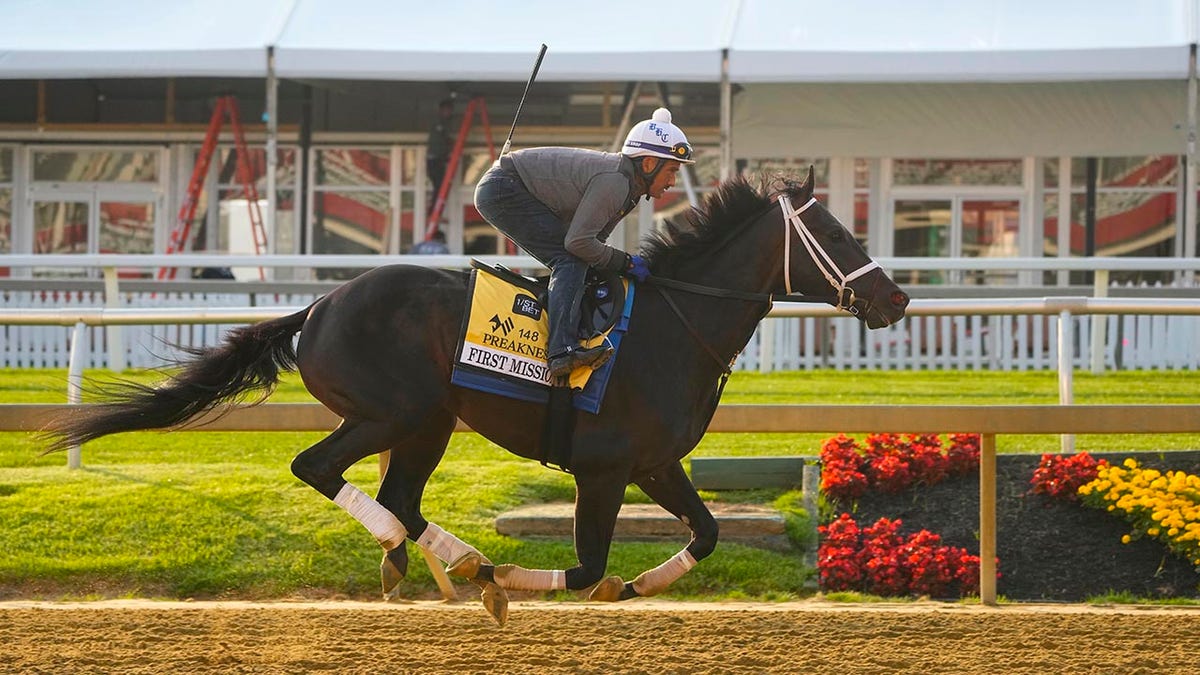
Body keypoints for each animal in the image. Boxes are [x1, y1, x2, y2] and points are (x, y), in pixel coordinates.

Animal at [46, 166, 907, 619]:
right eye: (837, 234)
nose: (896, 300)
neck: (674, 322)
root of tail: (318, 307)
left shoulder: (656, 464)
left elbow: (707, 532)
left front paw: (639, 582)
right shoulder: (603, 469)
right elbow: (586, 566)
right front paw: (517, 582)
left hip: (428, 422)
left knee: (401, 498)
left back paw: (444, 560)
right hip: (388, 411)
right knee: (321, 469)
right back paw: (445, 562)